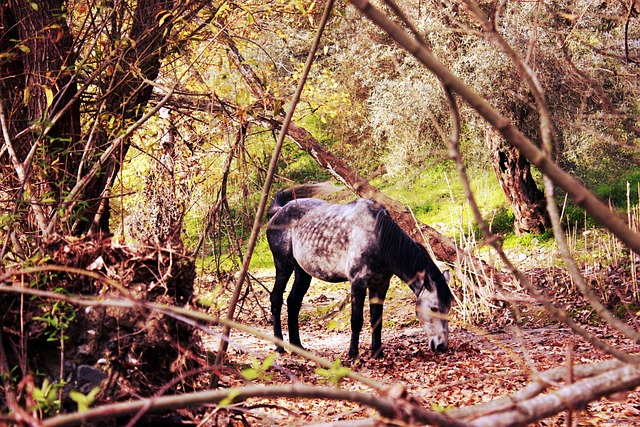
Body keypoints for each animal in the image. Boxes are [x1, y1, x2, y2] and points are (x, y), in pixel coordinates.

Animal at [266, 184, 456, 362]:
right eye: (434, 308)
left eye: (448, 308)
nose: (441, 346)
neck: (378, 237)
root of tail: (279, 211)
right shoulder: (357, 283)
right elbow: (356, 320)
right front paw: (353, 355)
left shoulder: (380, 285)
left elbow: (376, 320)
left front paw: (377, 353)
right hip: (283, 265)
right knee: (276, 298)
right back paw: (279, 347)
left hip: (303, 272)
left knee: (293, 302)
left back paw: (297, 346)